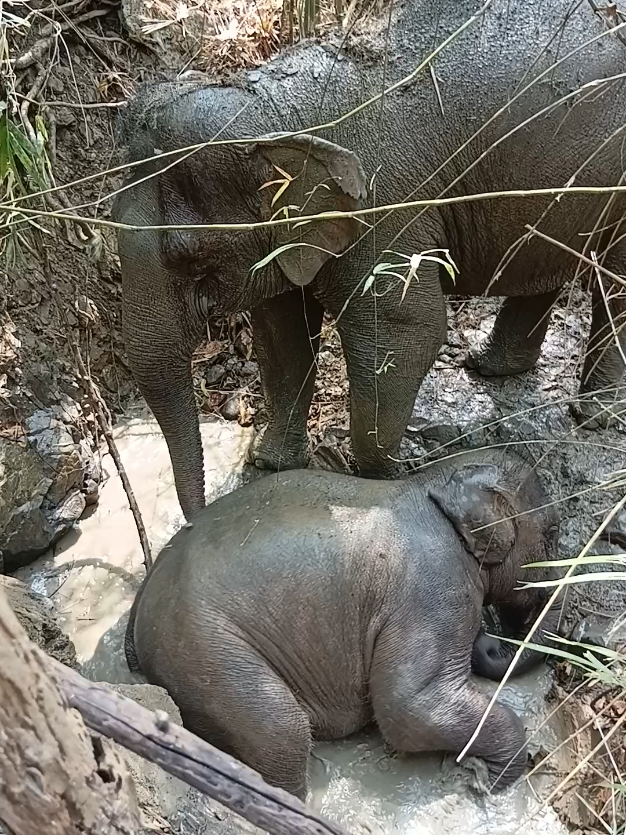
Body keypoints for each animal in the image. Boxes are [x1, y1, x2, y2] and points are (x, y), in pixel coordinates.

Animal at [114, 0, 626, 520]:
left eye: (186, 254)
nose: (196, 520)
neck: (273, 107)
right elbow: (281, 337)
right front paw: (272, 462)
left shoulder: (384, 205)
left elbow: (403, 326)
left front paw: (381, 475)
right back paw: (491, 367)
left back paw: (596, 415)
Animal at [126, 448, 562, 798]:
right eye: (553, 533)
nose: (487, 641)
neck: (428, 482)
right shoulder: (435, 585)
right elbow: (408, 708)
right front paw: (494, 779)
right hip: (204, 652)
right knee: (282, 731)